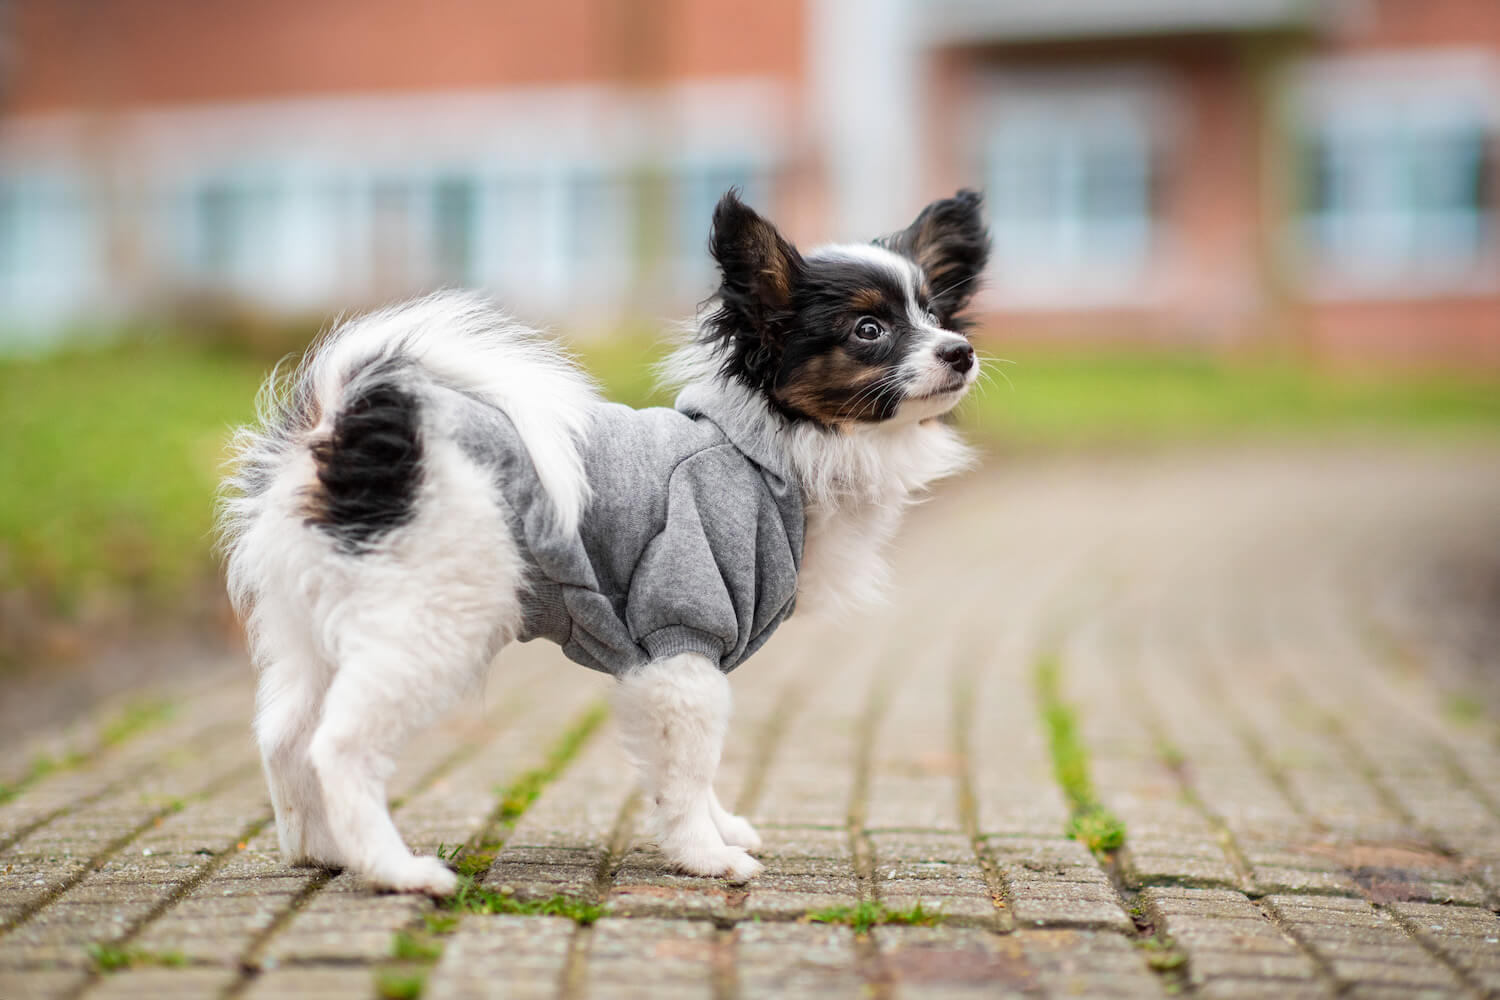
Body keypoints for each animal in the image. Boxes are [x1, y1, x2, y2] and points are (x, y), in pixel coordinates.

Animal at [219, 191, 984, 893]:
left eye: (936, 316)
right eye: (868, 329)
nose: (961, 351)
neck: (772, 451)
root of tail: (346, 419)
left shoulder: (673, 662)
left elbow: (692, 767)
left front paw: (719, 829)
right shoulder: (683, 639)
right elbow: (689, 769)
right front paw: (706, 856)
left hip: (317, 626)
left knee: (284, 735)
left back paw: (319, 850)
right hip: (433, 623)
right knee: (340, 745)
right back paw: (397, 870)